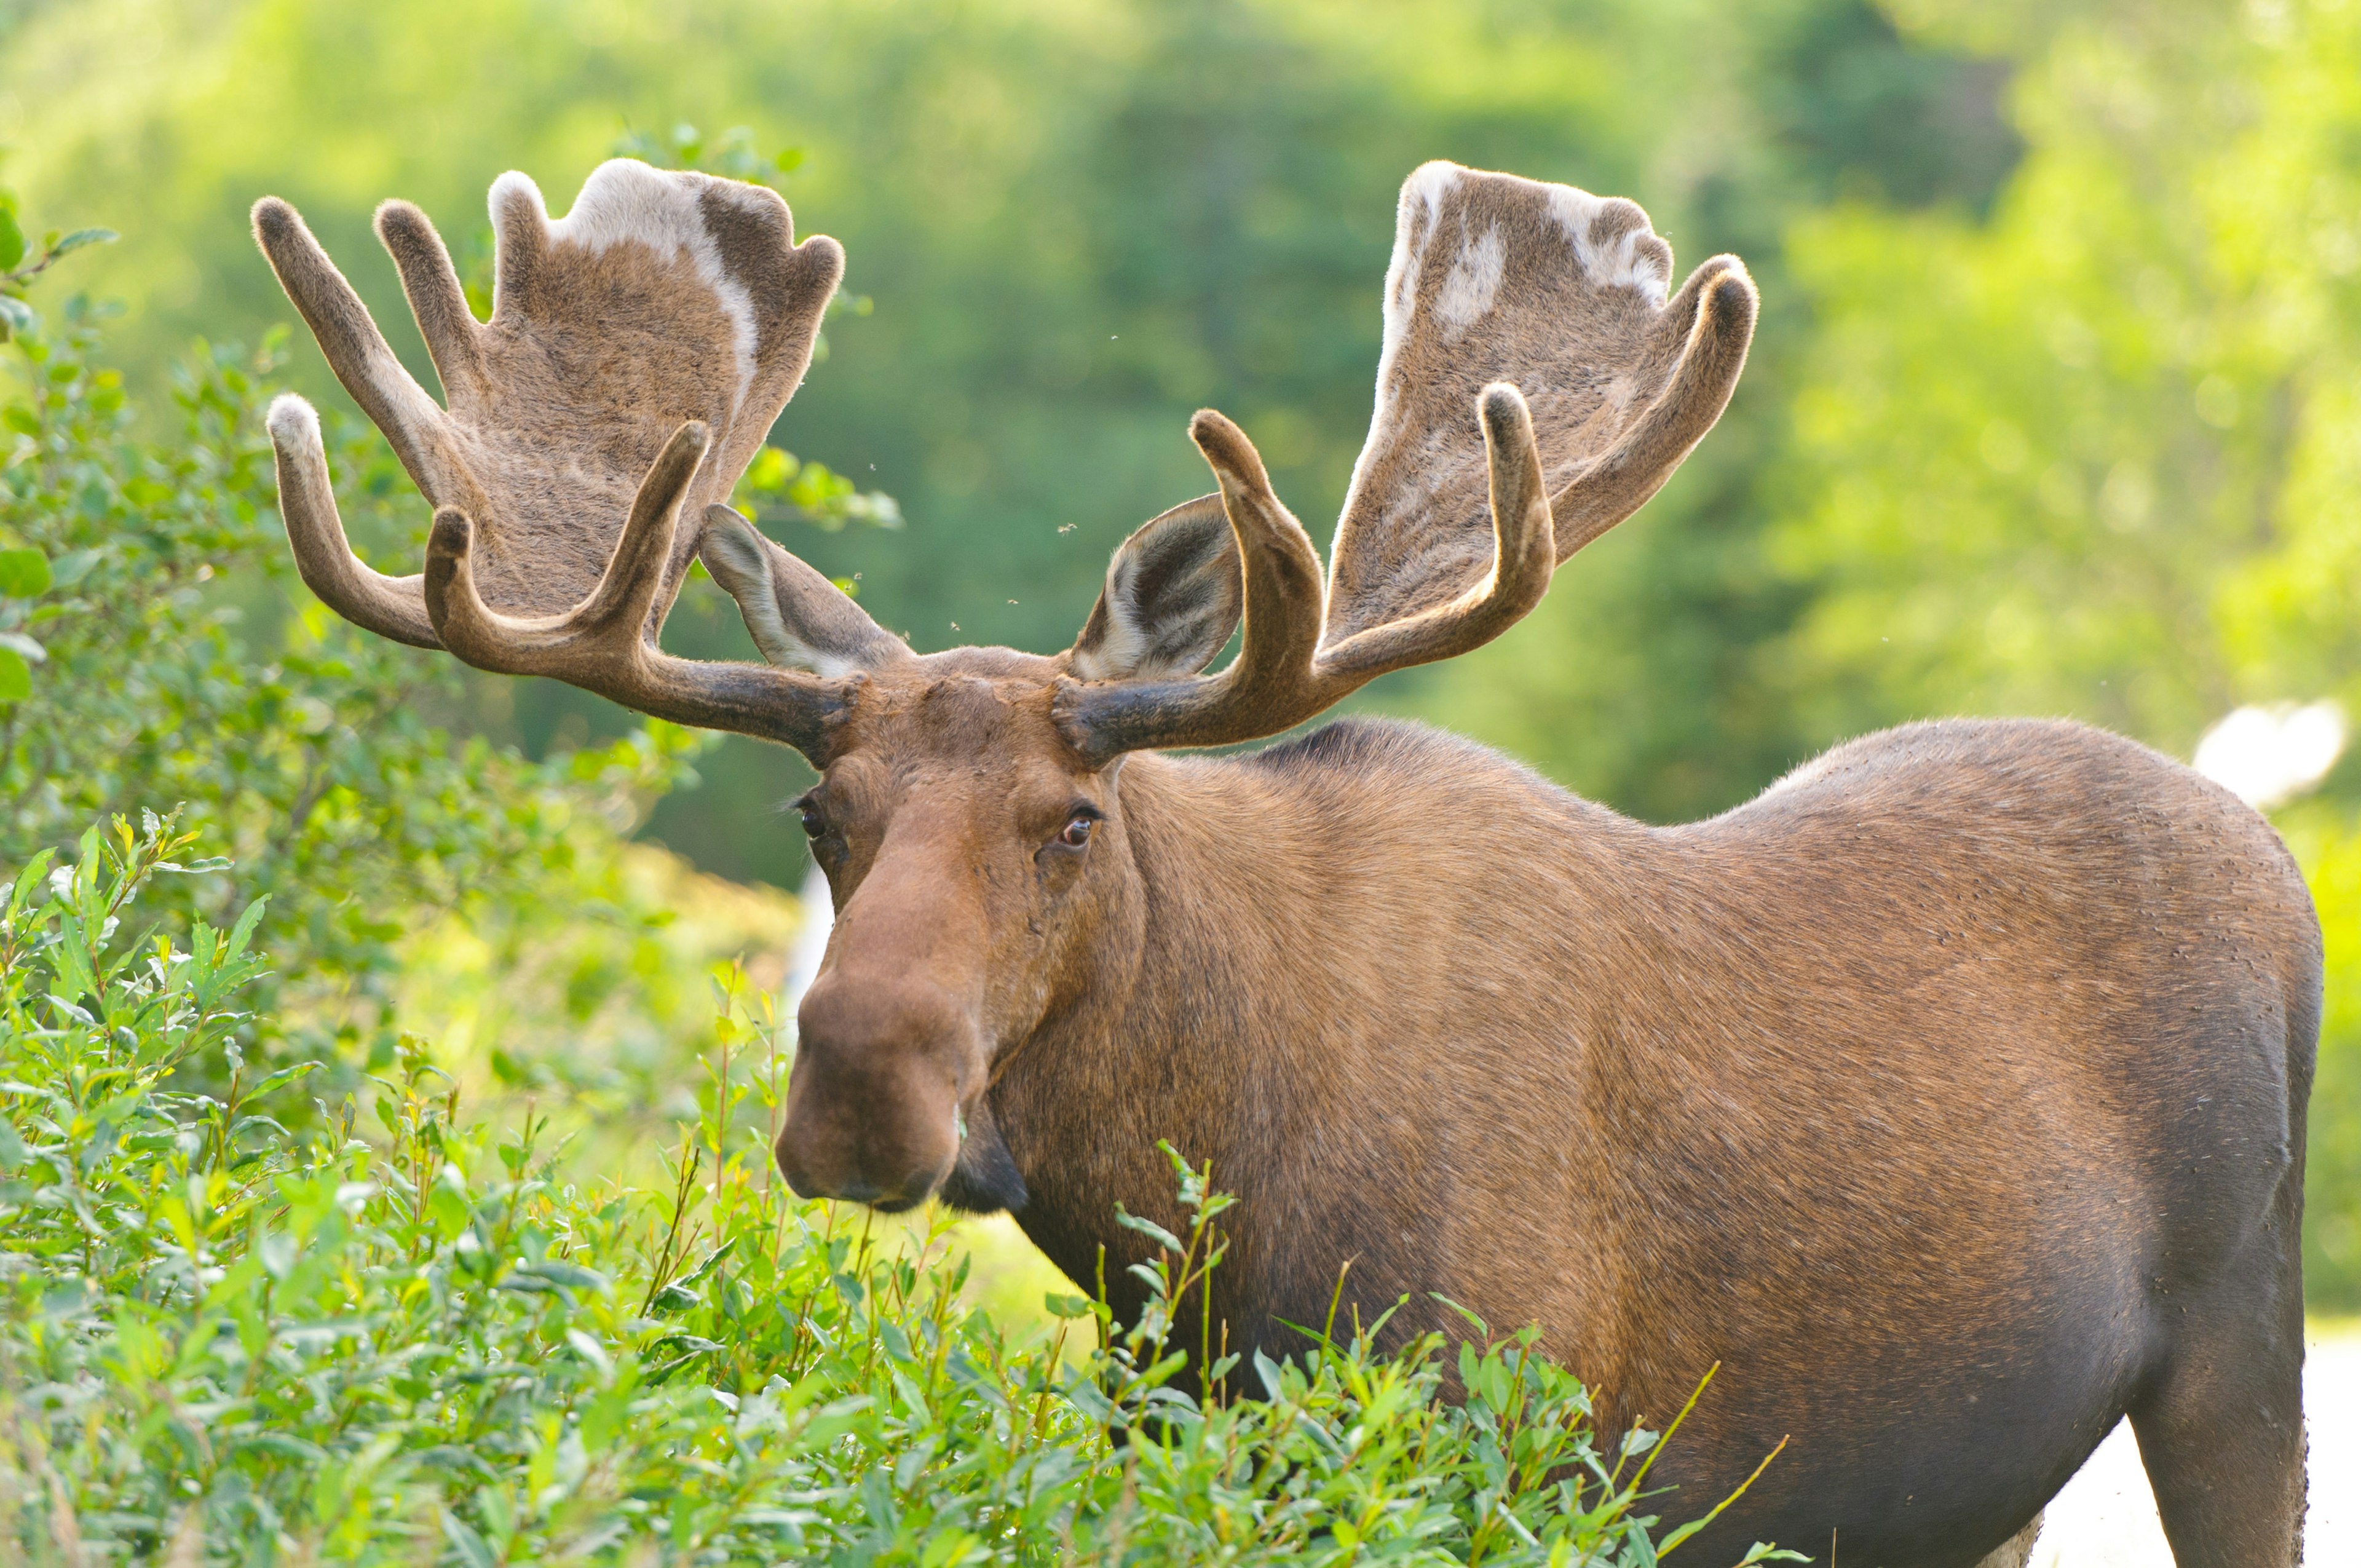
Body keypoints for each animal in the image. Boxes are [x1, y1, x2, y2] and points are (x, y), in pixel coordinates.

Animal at [249, 153, 2314, 1558]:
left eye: (1073, 818)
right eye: (817, 817)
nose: (855, 1090)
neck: (1196, 1206)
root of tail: (2272, 850)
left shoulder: (1517, 1428)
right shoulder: (1165, 1416)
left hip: (2239, 1346)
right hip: (1964, 1483)